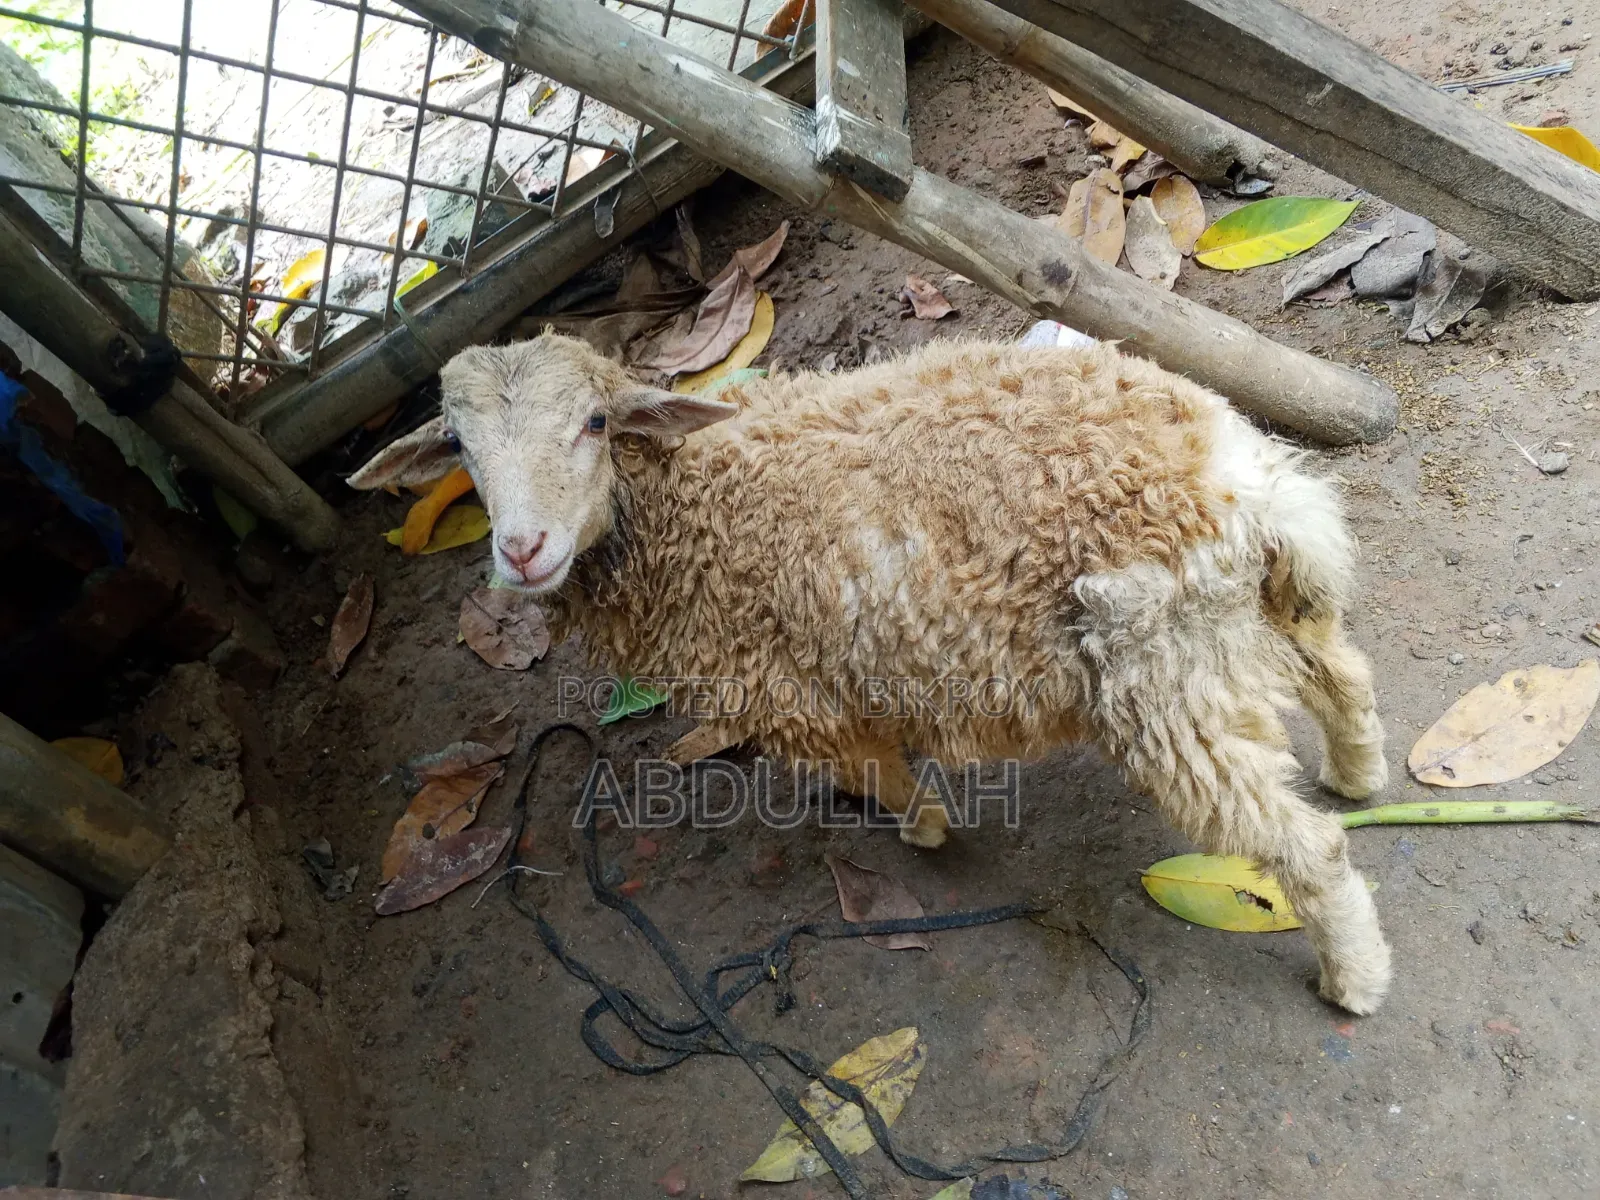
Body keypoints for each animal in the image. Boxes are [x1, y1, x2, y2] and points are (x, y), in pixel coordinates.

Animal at [350, 333, 1392, 1014]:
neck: (695, 499)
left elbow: (880, 772)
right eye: (458, 447)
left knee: (1308, 846)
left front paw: (920, 829)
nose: (521, 551)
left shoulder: (795, 695)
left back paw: (1356, 979)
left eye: (597, 422)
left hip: (1161, 673)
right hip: (1244, 620)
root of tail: (1241, 480)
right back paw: (1360, 775)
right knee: (1344, 675)